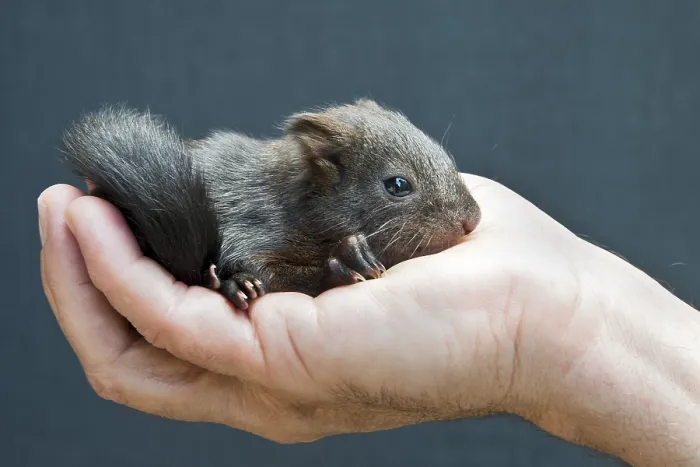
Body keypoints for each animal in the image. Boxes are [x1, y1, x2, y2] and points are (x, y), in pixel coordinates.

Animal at [61, 98, 481, 310]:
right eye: (398, 185)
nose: (471, 220)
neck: (301, 204)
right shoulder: (252, 225)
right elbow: (259, 264)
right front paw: (347, 261)